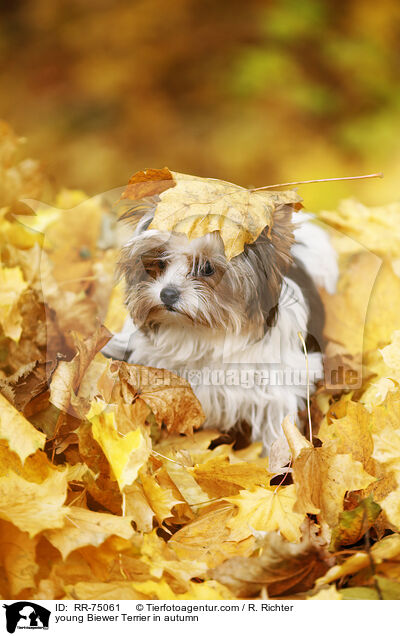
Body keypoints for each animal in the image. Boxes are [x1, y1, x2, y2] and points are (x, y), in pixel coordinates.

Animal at [103, 196, 338, 450]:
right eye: (160, 262)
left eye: (206, 268)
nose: (167, 294)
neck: (203, 332)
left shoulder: (276, 386)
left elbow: (278, 426)